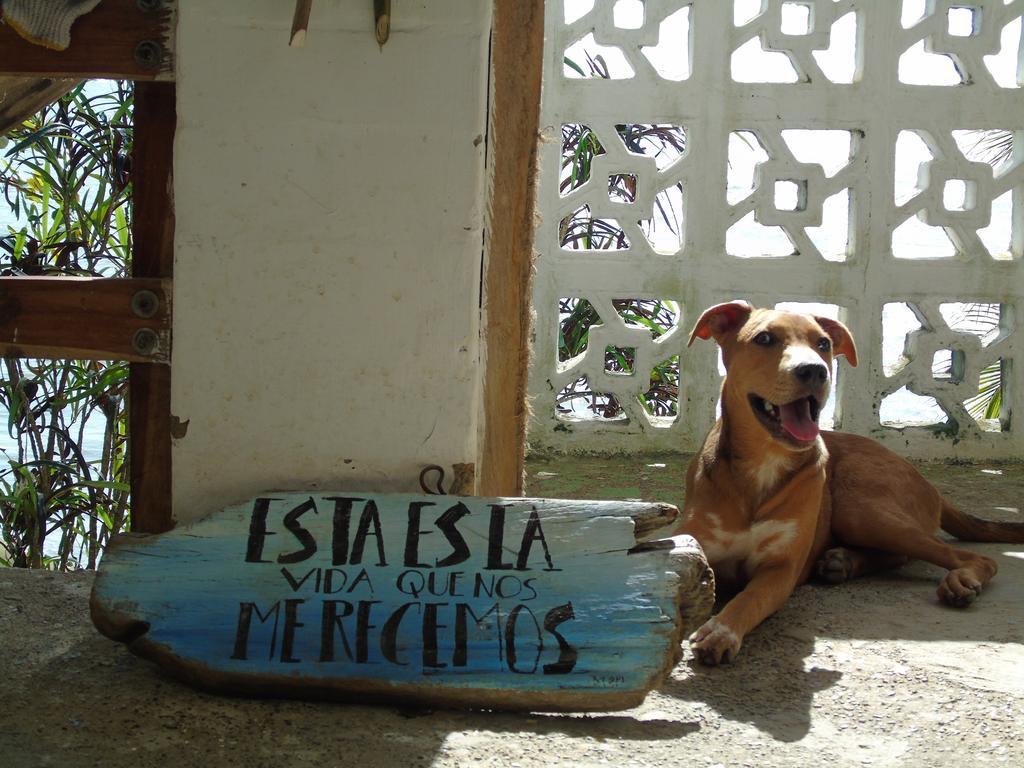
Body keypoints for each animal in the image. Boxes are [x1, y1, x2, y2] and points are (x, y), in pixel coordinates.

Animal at [671, 301, 1024, 667]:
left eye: (823, 344)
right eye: (764, 338)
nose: (815, 371)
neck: (763, 464)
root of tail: (929, 484)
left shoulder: (780, 569)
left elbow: (749, 599)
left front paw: (720, 630)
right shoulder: (692, 545)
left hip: (860, 509)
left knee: (968, 557)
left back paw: (958, 579)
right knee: (900, 555)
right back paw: (843, 563)